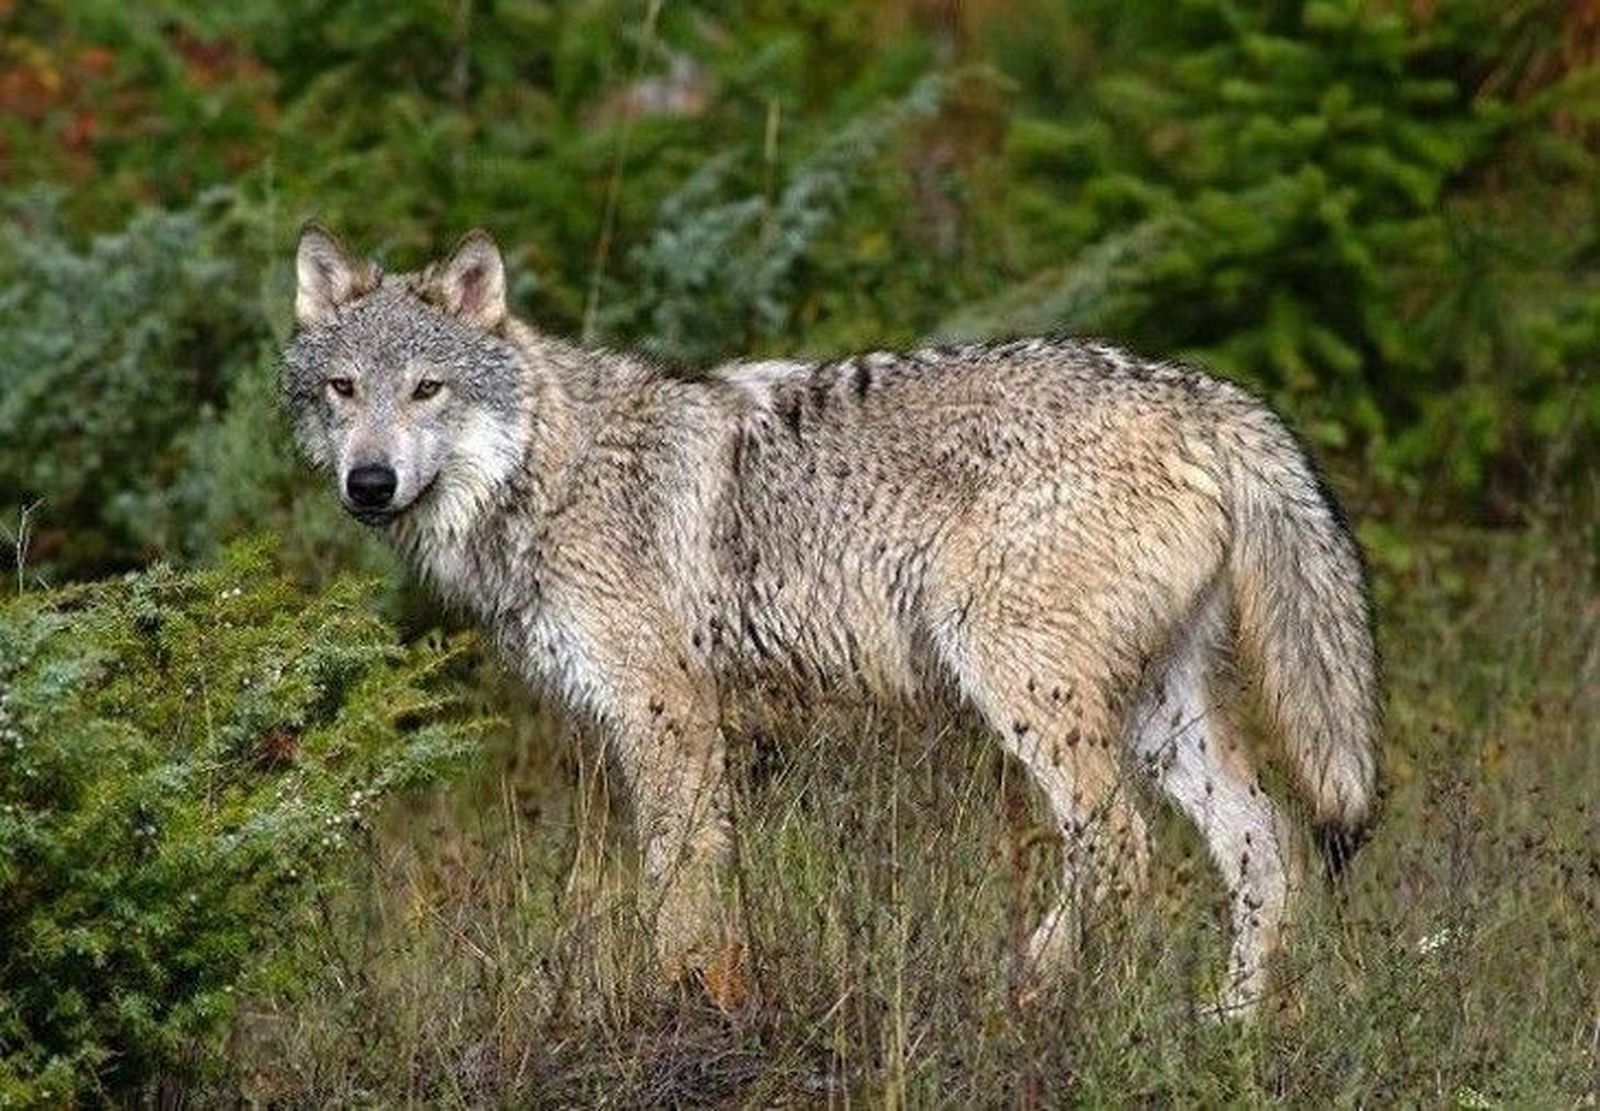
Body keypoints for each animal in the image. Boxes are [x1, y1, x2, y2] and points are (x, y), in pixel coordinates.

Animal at [282, 224, 1380, 1017]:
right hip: (1159, 717)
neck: (547, 471)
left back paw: (1031, 986)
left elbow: (678, 889)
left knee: (1120, 848)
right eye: (344, 390)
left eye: (428, 389)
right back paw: (1227, 1031)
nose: (369, 483)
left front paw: (689, 1006)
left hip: (1022, 683)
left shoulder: (668, 714)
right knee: (1269, 848)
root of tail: (1205, 393)